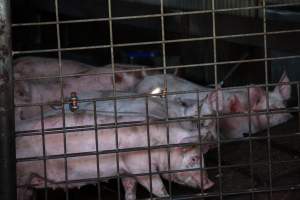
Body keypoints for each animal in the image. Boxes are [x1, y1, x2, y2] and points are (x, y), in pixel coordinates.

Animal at [15, 111, 213, 200]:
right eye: (194, 158)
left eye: (203, 158)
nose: (210, 184)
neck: (159, 144)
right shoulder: (140, 167)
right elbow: (157, 187)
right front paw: (165, 196)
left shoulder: (126, 171)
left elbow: (130, 189)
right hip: (22, 174)